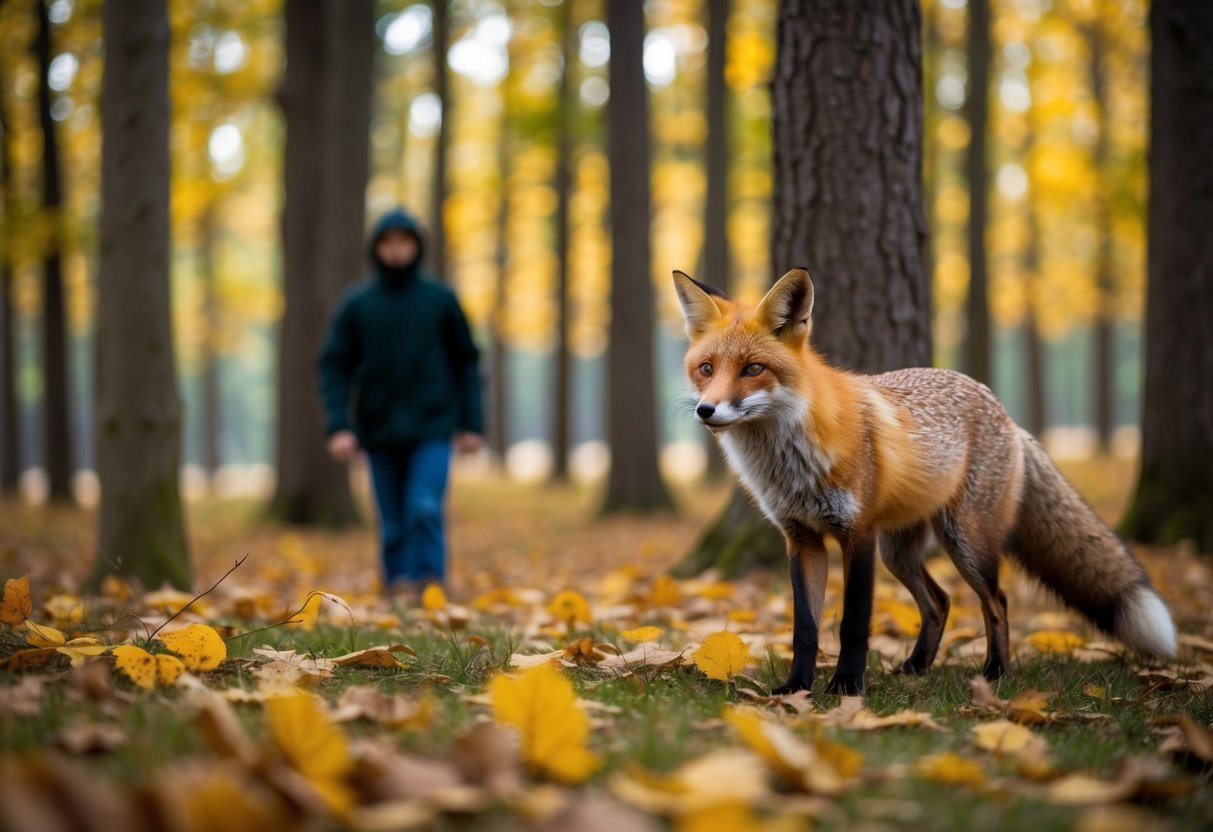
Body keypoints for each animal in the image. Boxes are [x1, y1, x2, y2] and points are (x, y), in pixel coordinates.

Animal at [674, 266, 1177, 696]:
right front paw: (796, 688)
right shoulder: (801, 539)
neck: (789, 463)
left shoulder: (858, 533)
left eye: (753, 369)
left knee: (997, 601)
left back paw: (996, 672)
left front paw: (847, 687)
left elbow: (853, 622)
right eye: (707, 369)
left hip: (965, 542)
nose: (706, 410)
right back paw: (917, 667)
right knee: (940, 602)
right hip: (900, 552)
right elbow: (805, 628)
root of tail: (1007, 414)